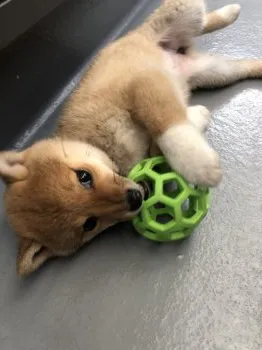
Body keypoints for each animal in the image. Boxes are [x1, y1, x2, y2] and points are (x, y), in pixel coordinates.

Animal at [0, 0, 262, 276]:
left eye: (84, 176)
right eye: (90, 224)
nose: (136, 198)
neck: (102, 145)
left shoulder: (141, 84)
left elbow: (167, 126)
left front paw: (199, 165)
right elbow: (165, 135)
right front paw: (198, 116)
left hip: (180, 15)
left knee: (202, 21)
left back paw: (230, 11)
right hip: (216, 73)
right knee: (243, 63)